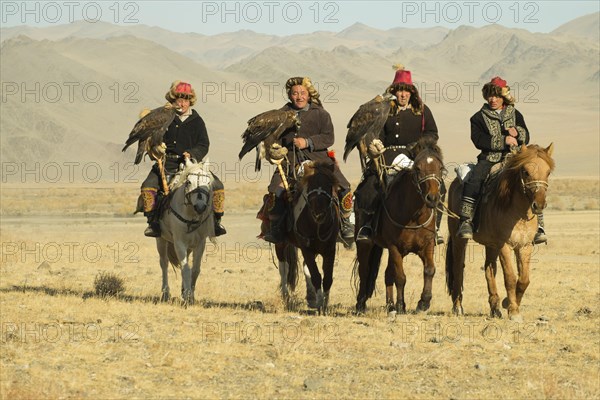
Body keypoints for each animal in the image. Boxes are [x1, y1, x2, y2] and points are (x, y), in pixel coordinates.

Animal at [356, 139, 446, 314]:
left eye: (440, 167)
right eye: (418, 168)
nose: (432, 198)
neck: (413, 216)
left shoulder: (427, 245)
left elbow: (429, 270)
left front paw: (423, 302)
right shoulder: (394, 247)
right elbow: (400, 277)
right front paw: (400, 305)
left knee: (386, 273)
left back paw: (390, 305)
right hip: (365, 244)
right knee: (364, 271)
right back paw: (361, 304)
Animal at [446, 144, 556, 322]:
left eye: (547, 172)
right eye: (525, 171)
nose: (539, 205)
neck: (517, 212)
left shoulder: (525, 246)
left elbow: (524, 280)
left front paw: (508, 304)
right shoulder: (505, 245)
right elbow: (510, 278)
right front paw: (513, 311)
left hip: (491, 245)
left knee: (489, 269)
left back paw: (495, 308)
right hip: (459, 240)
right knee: (458, 268)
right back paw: (457, 307)